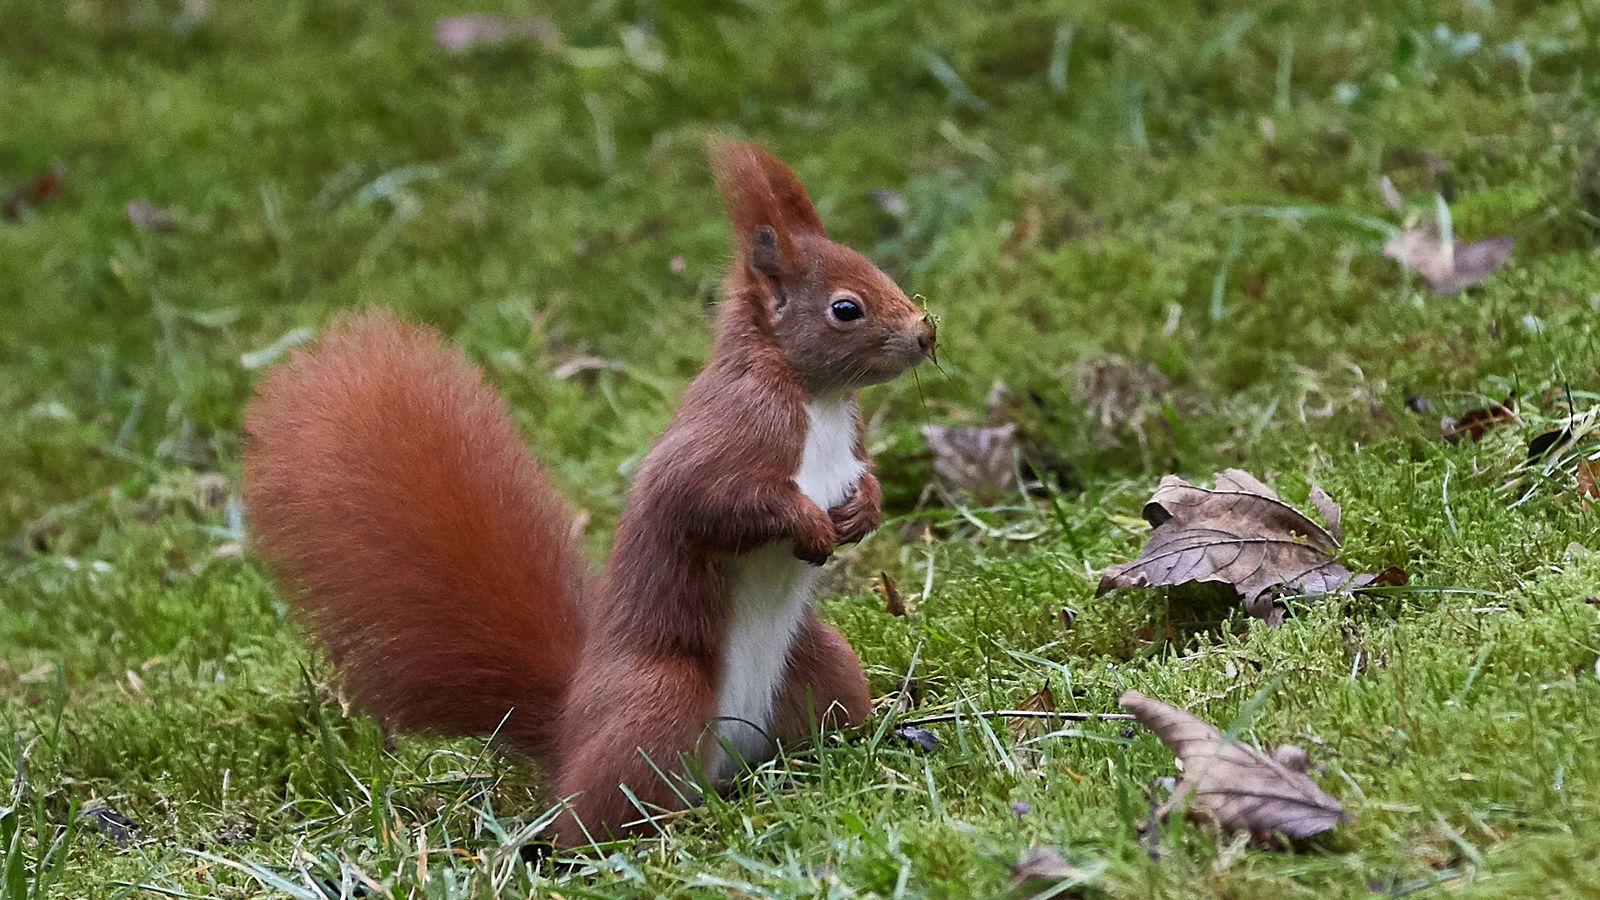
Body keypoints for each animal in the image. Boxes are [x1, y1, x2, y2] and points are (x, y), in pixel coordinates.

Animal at [241, 138, 934, 839]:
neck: (817, 400)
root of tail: (569, 733)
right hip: (659, 702)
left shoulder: (848, 446)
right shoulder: (730, 434)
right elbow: (710, 500)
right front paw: (809, 522)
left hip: (821, 663)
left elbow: (861, 476)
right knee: (602, 813)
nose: (926, 333)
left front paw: (864, 509)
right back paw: (661, 829)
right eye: (845, 308)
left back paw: (864, 743)